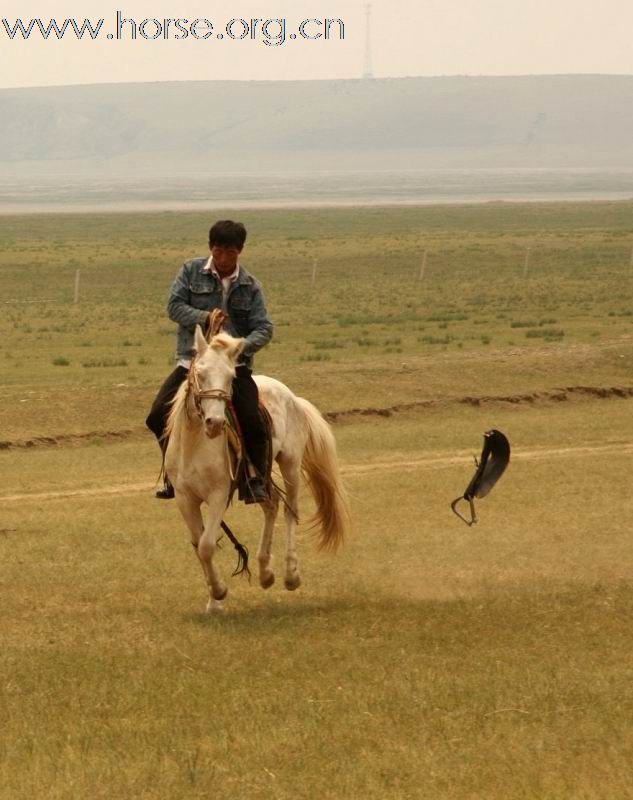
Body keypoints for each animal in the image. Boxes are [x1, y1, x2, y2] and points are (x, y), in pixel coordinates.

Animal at [163, 326, 350, 612]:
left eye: (230, 377)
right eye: (200, 373)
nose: (215, 423)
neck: (195, 445)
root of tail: (291, 396)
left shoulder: (218, 494)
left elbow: (207, 545)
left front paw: (219, 591)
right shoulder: (185, 498)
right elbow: (199, 545)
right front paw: (214, 601)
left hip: (290, 464)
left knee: (290, 511)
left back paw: (291, 575)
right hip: (258, 478)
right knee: (271, 504)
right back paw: (265, 573)